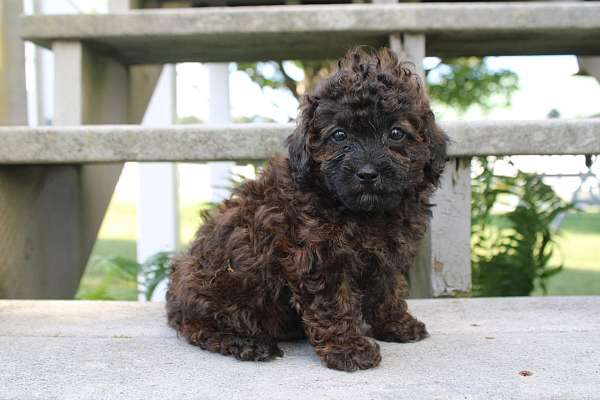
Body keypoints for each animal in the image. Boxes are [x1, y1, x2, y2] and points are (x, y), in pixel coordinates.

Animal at [166, 47, 448, 372]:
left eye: (396, 133)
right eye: (339, 135)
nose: (367, 173)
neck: (363, 212)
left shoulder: (385, 255)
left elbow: (387, 290)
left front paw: (397, 325)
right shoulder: (318, 257)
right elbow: (334, 304)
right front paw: (348, 349)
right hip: (213, 284)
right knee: (199, 327)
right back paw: (247, 343)